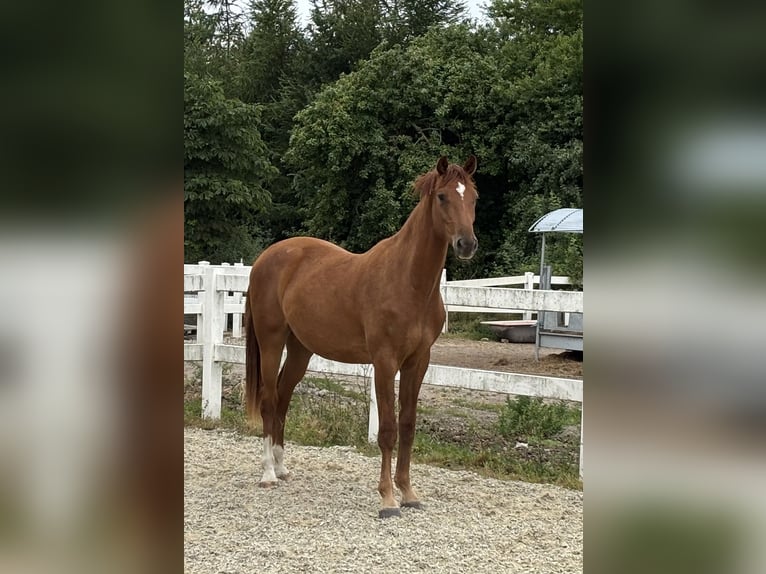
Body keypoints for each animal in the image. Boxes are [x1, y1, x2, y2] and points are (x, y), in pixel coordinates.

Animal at [244, 156, 478, 518]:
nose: (466, 244)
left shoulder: (418, 362)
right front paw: (387, 500)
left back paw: (282, 469)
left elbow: (407, 425)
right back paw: (268, 473)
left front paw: (408, 493)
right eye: (442, 197)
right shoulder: (385, 361)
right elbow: (387, 429)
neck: (409, 281)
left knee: (283, 398)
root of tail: (264, 259)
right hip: (271, 342)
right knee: (269, 401)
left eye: (474, 198)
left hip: (300, 350)